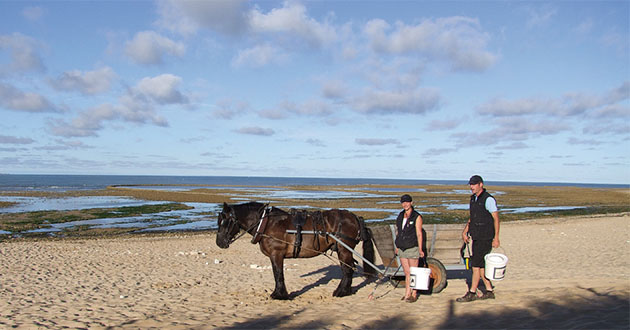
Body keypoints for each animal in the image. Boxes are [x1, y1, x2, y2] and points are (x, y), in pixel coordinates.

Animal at [217, 201, 376, 300]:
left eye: (226, 221)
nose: (219, 242)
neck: (267, 224)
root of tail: (355, 217)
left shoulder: (276, 255)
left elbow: (278, 274)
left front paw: (279, 294)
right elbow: (277, 274)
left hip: (344, 250)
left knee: (348, 269)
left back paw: (341, 292)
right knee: (348, 268)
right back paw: (345, 290)